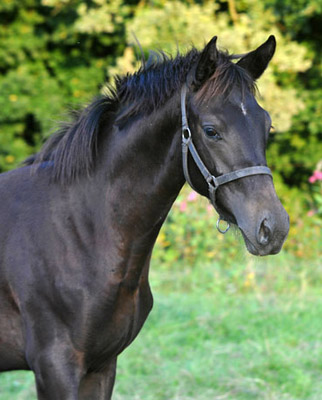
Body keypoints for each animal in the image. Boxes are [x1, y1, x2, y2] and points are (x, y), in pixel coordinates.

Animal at [0, 36, 288, 398]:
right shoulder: (55, 369)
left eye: (267, 126)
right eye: (211, 130)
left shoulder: (102, 366)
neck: (78, 228)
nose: (273, 227)